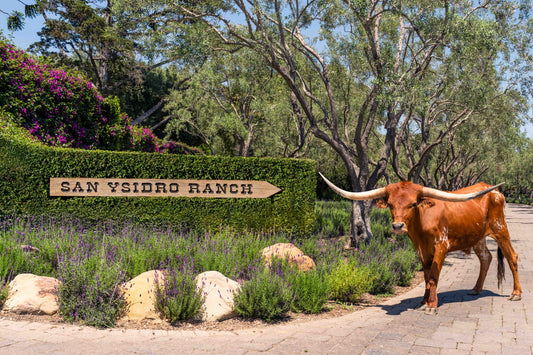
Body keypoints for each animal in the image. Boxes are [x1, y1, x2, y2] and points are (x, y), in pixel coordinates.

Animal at [318, 174, 520, 316]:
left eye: (413, 204)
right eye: (390, 204)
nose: (398, 226)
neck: (422, 222)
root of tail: (493, 191)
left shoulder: (441, 246)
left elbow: (434, 276)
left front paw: (432, 306)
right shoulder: (420, 249)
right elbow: (426, 275)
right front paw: (424, 301)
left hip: (500, 229)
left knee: (512, 256)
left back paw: (516, 293)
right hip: (477, 237)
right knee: (486, 258)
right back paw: (476, 289)